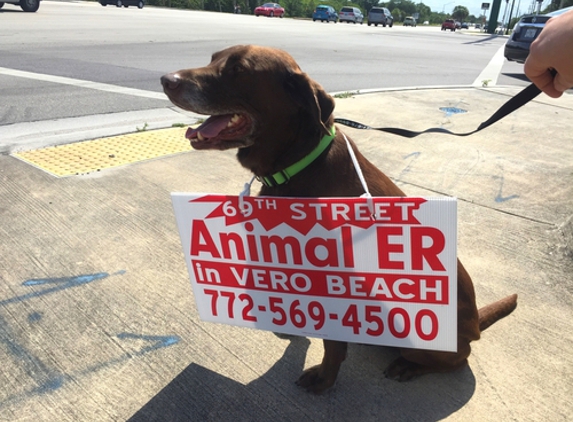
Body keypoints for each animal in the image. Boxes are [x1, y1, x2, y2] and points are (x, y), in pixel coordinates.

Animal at [161, 45, 520, 392]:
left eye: (238, 69)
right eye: (213, 58)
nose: (166, 79)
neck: (298, 163)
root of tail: (476, 325)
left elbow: (332, 345)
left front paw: (324, 378)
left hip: (427, 339)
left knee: (459, 358)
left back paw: (408, 364)